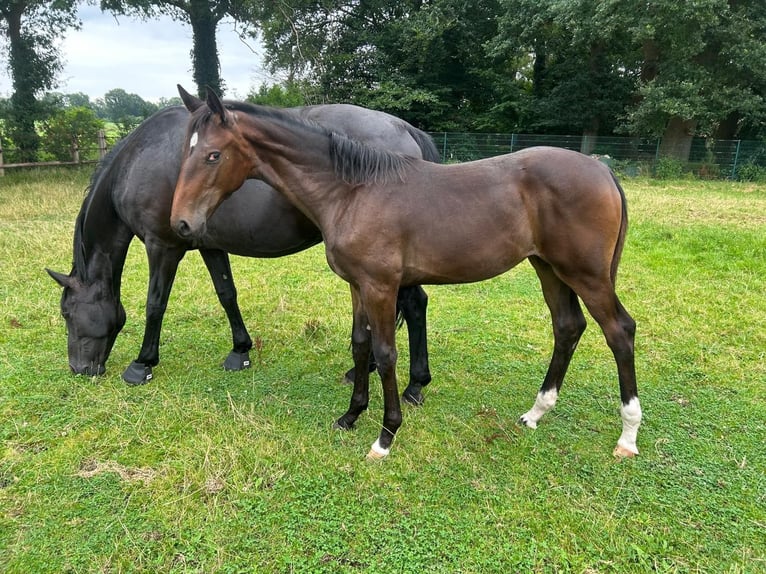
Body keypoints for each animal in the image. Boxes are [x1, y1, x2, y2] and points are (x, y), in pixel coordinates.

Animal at [46, 101, 438, 402]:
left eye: (66, 313)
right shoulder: (209, 245)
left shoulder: (163, 246)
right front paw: (240, 351)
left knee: (414, 304)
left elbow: (155, 304)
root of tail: (403, 128)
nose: (79, 369)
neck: (137, 160)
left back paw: (414, 385)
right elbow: (227, 294)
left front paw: (142, 364)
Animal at [172, 88, 640, 462]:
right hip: (549, 268)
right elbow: (360, 345)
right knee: (568, 326)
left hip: (587, 274)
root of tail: (602, 169)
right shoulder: (357, 285)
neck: (353, 191)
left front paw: (385, 436)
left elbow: (385, 353)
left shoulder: (381, 287)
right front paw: (350, 415)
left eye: (213, 154)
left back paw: (628, 435)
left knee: (619, 330)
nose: (181, 224)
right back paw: (536, 412)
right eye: (185, 152)